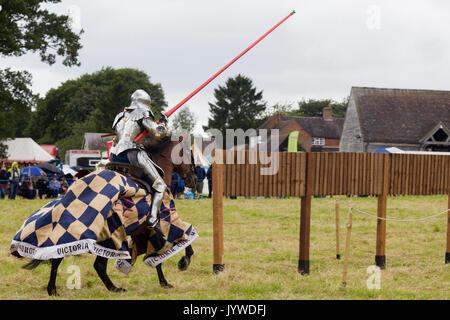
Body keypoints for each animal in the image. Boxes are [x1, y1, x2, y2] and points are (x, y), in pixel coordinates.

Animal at [18, 136, 197, 296]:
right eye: (189, 155)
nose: (194, 180)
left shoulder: (145, 232)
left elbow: (157, 259)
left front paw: (164, 282)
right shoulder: (164, 226)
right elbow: (184, 239)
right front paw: (183, 263)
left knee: (75, 260)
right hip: (108, 238)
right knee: (92, 264)